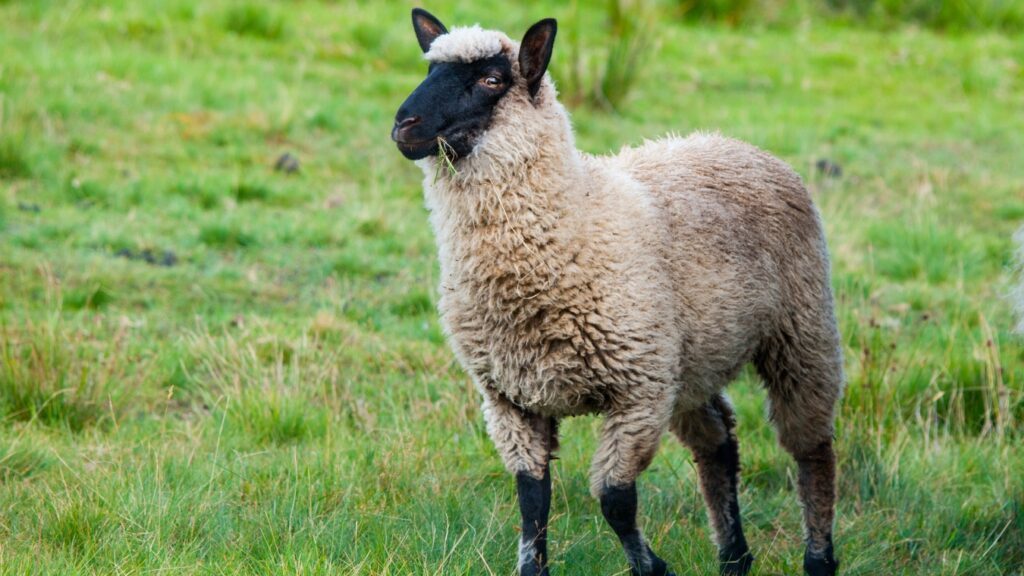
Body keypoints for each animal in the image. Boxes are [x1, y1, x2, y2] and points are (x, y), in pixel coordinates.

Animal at [387, 10, 843, 573]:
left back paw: (818, 557)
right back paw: (734, 557)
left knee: (811, 449)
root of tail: (732, 142)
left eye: (492, 80)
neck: (574, 217)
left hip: (801, 327)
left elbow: (614, 500)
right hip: (690, 361)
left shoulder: (637, 393)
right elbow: (532, 499)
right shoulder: (510, 398)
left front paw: (652, 567)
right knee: (717, 442)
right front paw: (534, 565)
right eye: (429, 69)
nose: (404, 126)